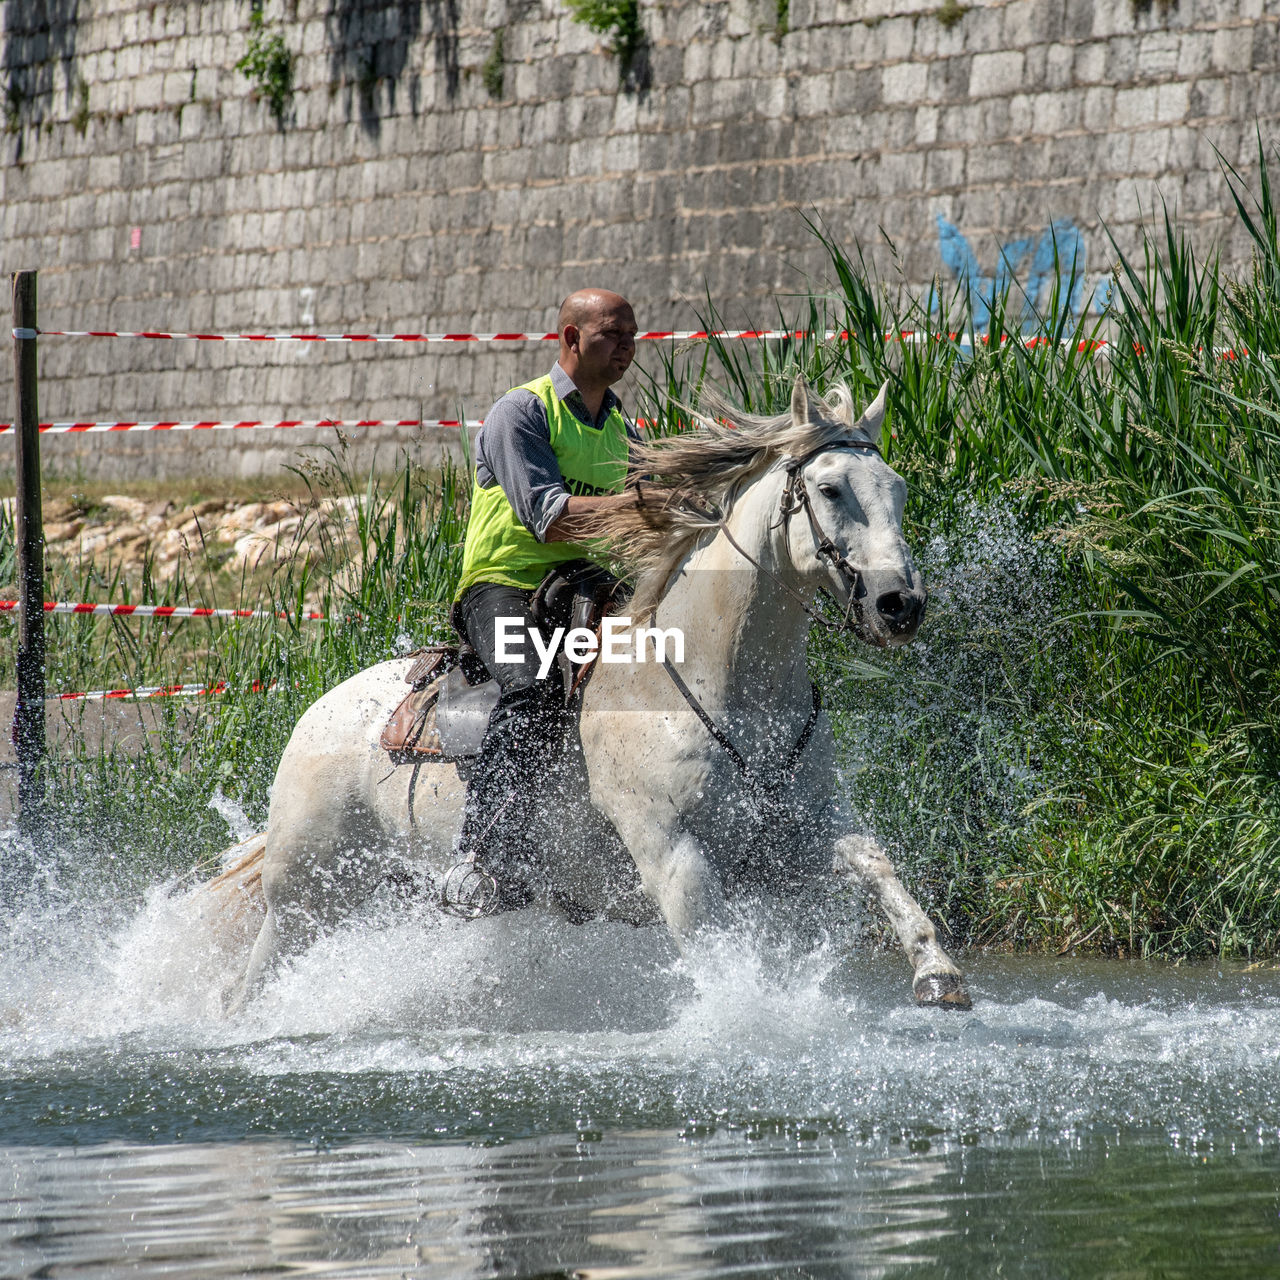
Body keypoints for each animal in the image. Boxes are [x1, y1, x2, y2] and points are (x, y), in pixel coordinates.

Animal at [225, 376, 967, 1008]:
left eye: (898, 490)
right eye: (833, 489)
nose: (900, 605)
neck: (716, 682)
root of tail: (318, 712)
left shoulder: (802, 834)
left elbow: (875, 863)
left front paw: (938, 974)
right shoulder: (668, 849)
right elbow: (715, 950)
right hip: (306, 898)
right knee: (253, 981)